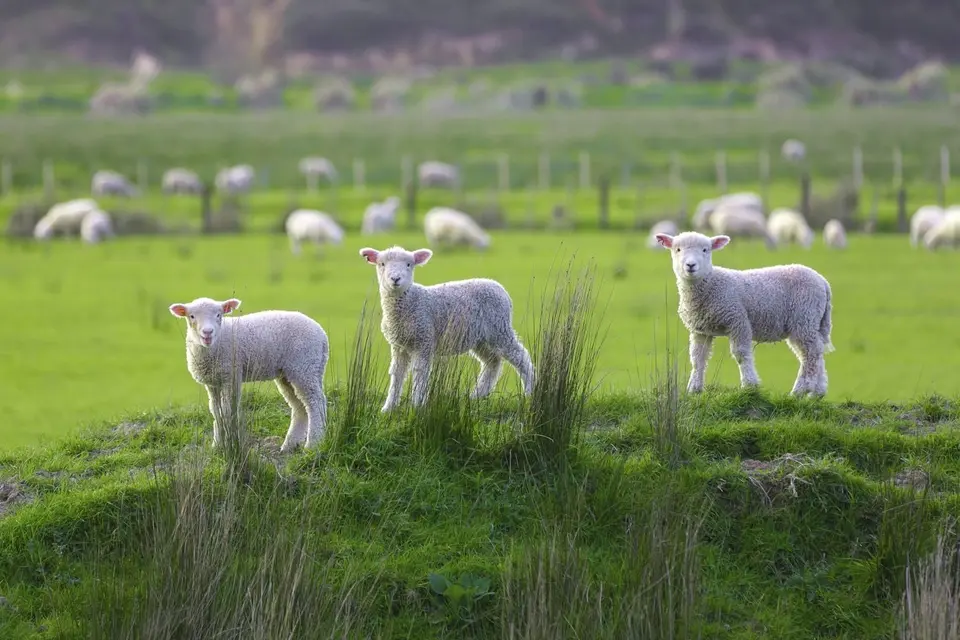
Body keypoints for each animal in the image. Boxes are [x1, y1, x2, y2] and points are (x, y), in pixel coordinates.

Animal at [168, 297, 329, 453]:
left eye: (219, 315)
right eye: (192, 316)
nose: (208, 332)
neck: (216, 343)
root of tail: (322, 335)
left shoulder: (231, 375)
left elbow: (227, 410)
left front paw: (230, 444)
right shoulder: (213, 382)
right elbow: (216, 412)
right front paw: (218, 445)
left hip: (304, 366)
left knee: (315, 403)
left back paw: (313, 444)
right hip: (291, 373)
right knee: (299, 406)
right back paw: (290, 445)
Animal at [359, 246, 534, 411]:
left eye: (409, 264)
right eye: (382, 264)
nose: (395, 278)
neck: (410, 302)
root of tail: (499, 288)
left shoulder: (424, 339)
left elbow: (420, 372)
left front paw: (417, 405)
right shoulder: (398, 346)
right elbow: (397, 373)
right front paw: (388, 408)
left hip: (499, 329)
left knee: (520, 356)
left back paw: (530, 391)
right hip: (480, 338)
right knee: (492, 362)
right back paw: (476, 395)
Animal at [655, 231, 834, 397]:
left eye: (705, 250)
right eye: (677, 249)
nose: (690, 265)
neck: (710, 284)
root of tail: (823, 282)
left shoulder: (737, 320)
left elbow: (741, 354)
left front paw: (750, 385)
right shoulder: (700, 330)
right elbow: (698, 358)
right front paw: (694, 389)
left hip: (804, 317)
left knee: (810, 354)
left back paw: (800, 390)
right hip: (810, 323)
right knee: (817, 353)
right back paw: (817, 393)